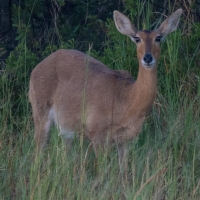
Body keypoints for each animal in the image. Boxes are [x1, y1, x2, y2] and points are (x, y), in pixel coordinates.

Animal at [28, 8, 183, 166]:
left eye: (158, 38)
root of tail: (35, 69)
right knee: (37, 152)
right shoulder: (96, 132)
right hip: (40, 113)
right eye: (137, 38)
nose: (147, 58)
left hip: (66, 130)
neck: (126, 99)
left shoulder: (126, 140)